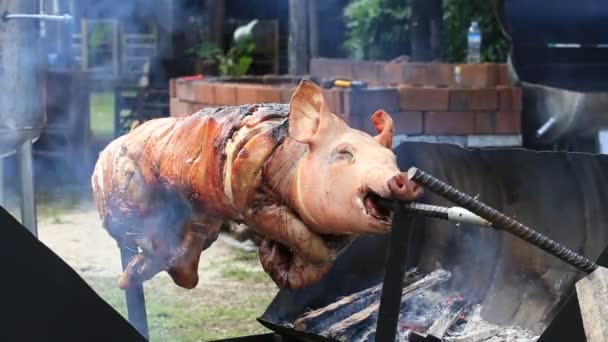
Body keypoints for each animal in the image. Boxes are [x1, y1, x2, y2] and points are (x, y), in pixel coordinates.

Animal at [91, 81, 422, 292]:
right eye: (344, 154)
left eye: (393, 158)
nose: (402, 180)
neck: (292, 158)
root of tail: (111, 146)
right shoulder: (250, 198)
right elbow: (298, 234)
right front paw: (272, 249)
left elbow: (316, 262)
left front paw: (272, 256)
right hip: (126, 198)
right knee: (136, 233)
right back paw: (132, 269)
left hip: (203, 222)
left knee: (186, 264)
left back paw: (133, 276)